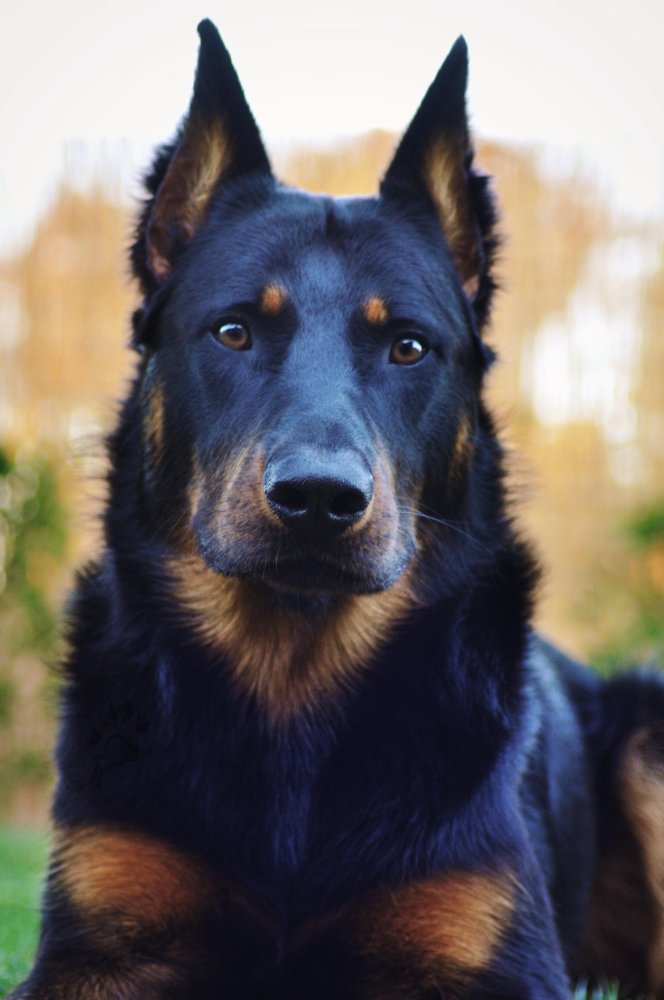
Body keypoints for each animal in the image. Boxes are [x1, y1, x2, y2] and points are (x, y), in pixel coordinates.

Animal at [9, 15, 664, 1000]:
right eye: (233, 330)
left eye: (409, 347)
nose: (319, 499)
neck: (293, 685)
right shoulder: (97, 946)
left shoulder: (497, 958)